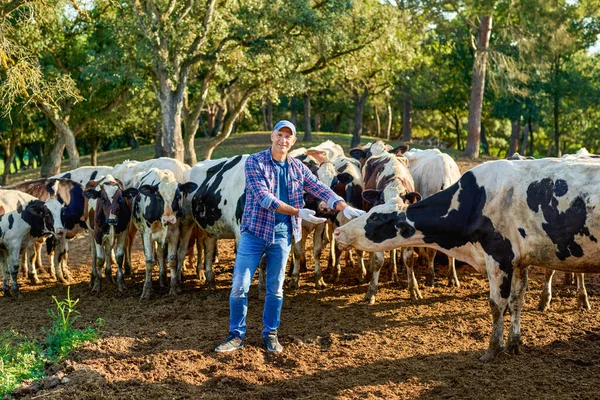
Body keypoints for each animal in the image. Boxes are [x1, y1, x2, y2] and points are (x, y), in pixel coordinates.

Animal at [336, 157, 600, 362]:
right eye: (370, 211)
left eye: (376, 219)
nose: (339, 232)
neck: (474, 201)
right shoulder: (519, 262)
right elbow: (517, 301)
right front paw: (514, 344)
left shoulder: (499, 257)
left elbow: (497, 305)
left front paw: (493, 349)